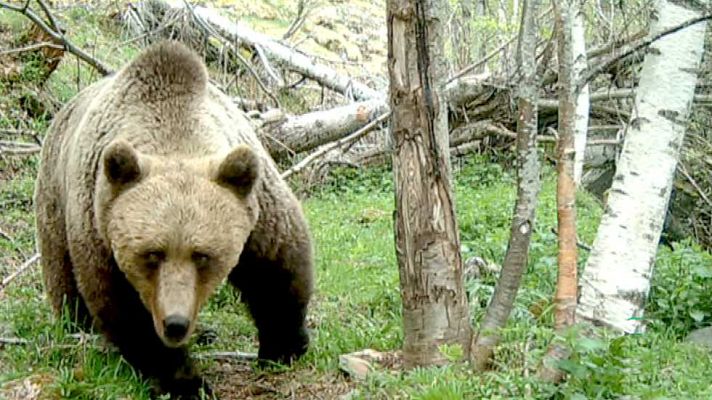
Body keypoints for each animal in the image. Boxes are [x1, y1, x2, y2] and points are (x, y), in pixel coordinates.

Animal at [33, 40, 314, 399]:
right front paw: (185, 381)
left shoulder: (256, 205)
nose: (176, 322)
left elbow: (277, 266)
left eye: (203, 255)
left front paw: (284, 346)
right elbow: (125, 309)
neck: (174, 130)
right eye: (152, 254)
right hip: (55, 197)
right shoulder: (100, 226)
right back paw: (78, 325)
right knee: (63, 277)